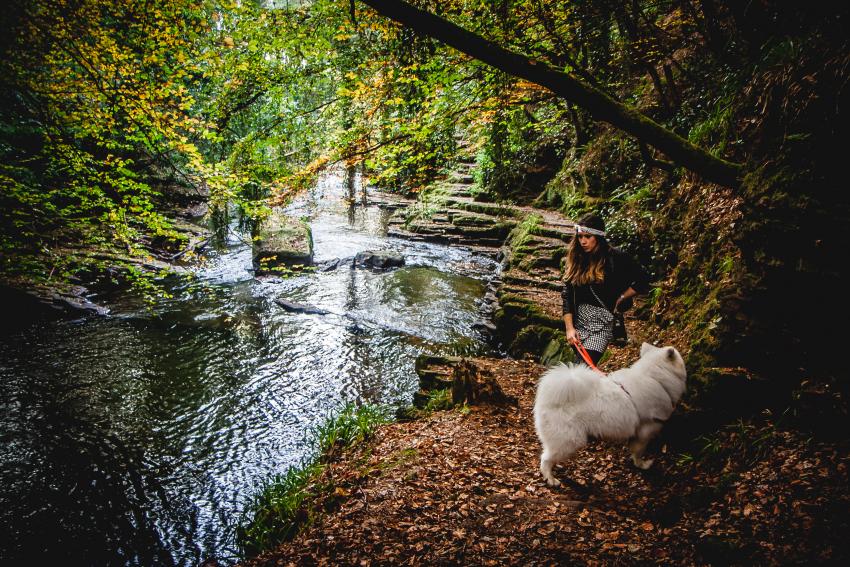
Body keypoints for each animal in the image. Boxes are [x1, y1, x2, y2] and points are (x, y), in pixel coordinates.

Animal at [532, 342, 684, 488]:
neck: (655, 378)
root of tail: (548, 399)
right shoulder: (646, 430)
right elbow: (639, 451)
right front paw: (642, 465)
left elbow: (633, 449)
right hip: (570, 440)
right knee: (545, 459)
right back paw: (551, 479)